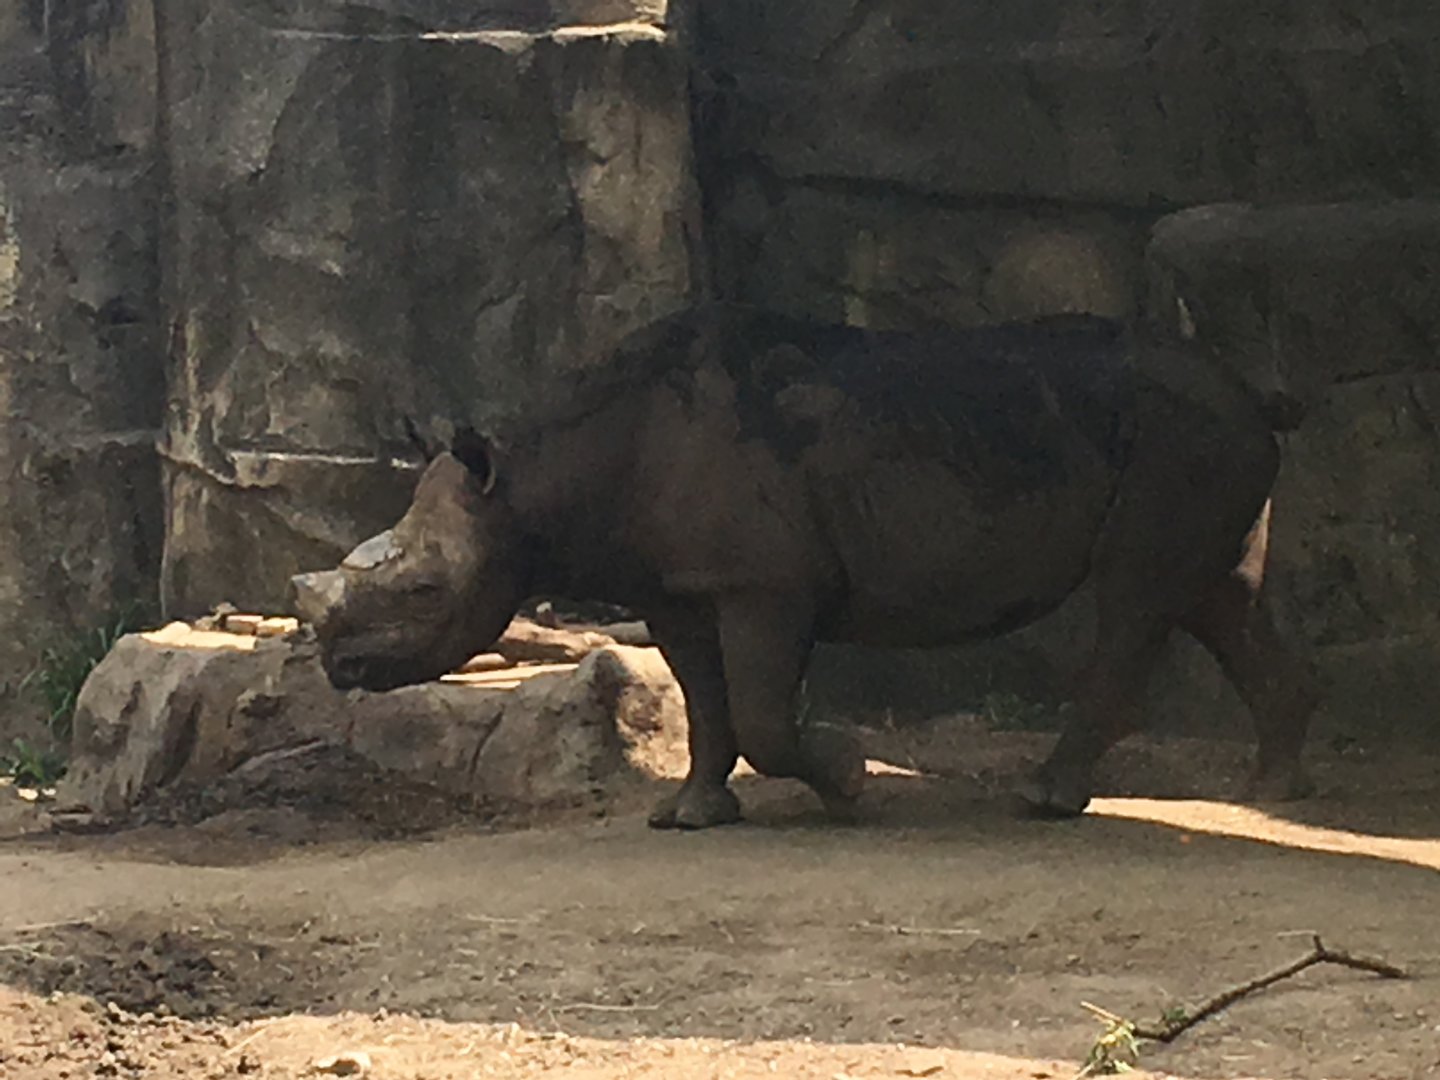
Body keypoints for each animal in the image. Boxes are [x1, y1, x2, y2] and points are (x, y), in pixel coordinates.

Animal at [290, 304, 1317, 828]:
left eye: (426, 591)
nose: (340, 668)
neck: (540, 474)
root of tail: (1249, 391)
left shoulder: (767, 584)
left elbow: (761, 712)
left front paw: (851, 779)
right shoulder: (678, 582)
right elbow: (706, 698)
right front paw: (692, 815)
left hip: (1180, 436)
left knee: (1139, 593)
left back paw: (1047, 800)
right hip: (1198, 436)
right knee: (1215, 592)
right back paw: (1268, 792)